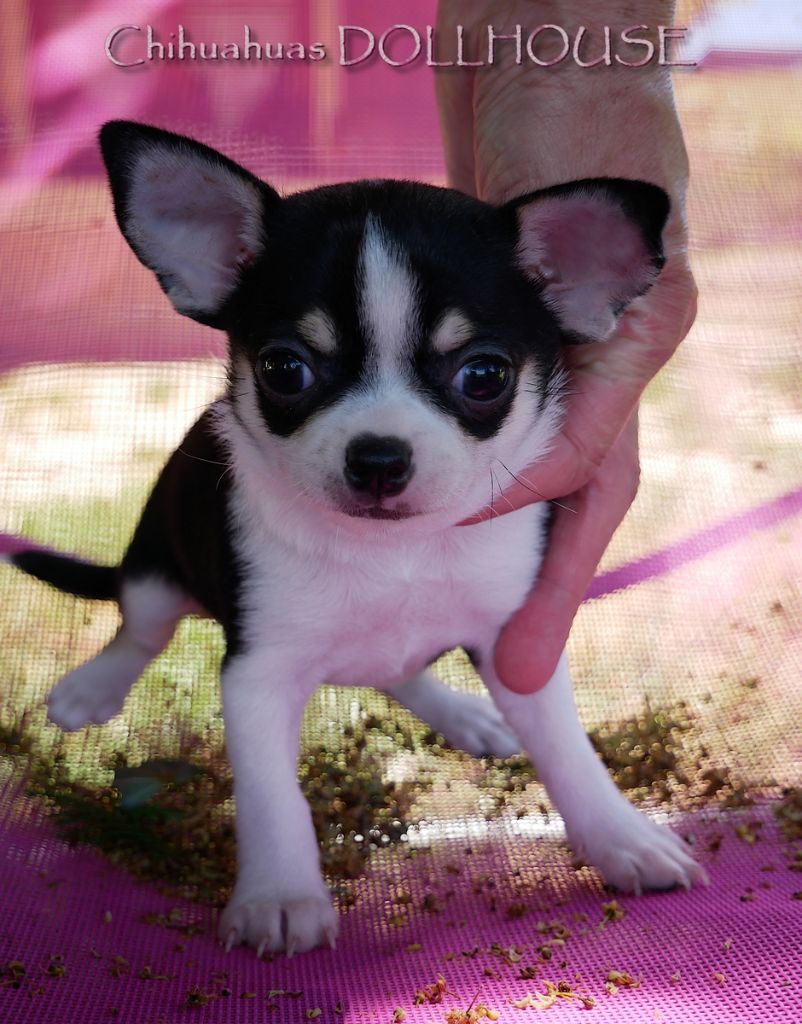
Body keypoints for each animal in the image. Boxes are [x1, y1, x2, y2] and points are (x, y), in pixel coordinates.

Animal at [8, 121, 705, 957]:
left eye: (483, 376)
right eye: (284, 369)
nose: (377, 457)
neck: (394, 556)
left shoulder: (516, 640)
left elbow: (570, 754)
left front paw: (621, 837)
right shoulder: (259, 677)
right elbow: (273, 797)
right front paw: (280, 895)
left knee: (399, 671)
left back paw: (467, 715)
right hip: (155, 562)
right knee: (141, 628)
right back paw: (94, 685)